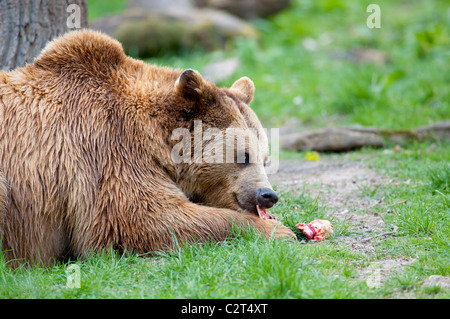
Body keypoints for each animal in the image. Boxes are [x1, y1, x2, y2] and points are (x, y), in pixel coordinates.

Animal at [0, 30, 296, 268]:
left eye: (265, 158)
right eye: (243, 156)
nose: (268, 195)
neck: (156, 139)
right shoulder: (109, 149)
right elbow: (145, 219)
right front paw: (279, 230)